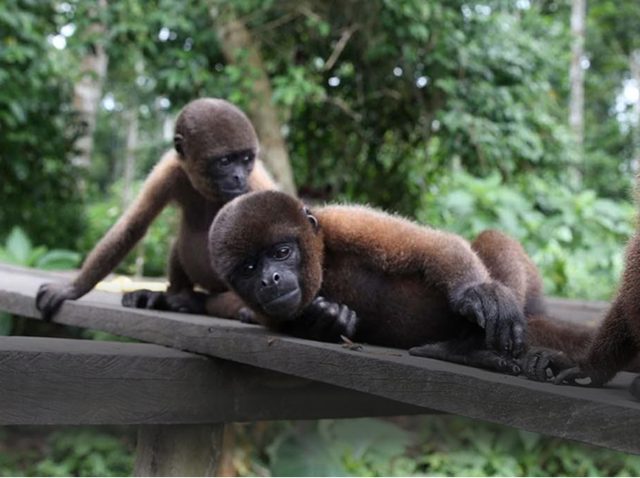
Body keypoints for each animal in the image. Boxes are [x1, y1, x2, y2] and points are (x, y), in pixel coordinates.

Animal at [36, 98, 276, 321]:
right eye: (225, 161)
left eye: (246, 159)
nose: (239, 177)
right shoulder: (168, 170)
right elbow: (133, 225)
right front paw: (71, 289)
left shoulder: (256, 184)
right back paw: (168, 296)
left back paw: (190, 301)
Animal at [208, 190, 594, 376]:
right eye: (249, 268)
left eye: (282, 252)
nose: (269, 279)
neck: (322, 263)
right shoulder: (266, 311)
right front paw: (330, 318)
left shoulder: (345, 221)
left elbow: (433, 246)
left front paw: (477, 292)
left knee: (489, 238)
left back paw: (469, 348)